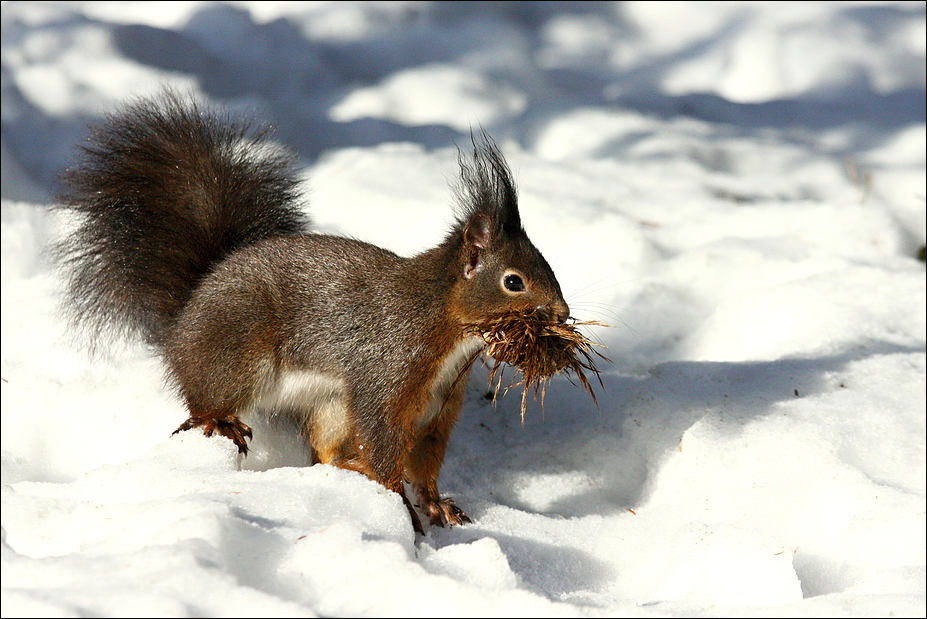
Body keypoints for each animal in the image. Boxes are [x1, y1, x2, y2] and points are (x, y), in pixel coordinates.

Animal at [58, 92, 568, 532]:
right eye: (514, 281)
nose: (562, 314)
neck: (445, 328)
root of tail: (187, 314)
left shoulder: (439, 405)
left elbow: (424, 459)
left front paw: (434, 501)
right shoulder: (386, 371)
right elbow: (383, 441)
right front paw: (396, 499)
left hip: (329, 406)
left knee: (324, 452)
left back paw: (345, 468)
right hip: (240, 349)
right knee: (205, 398)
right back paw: (219, 420)